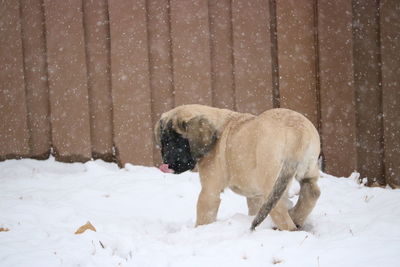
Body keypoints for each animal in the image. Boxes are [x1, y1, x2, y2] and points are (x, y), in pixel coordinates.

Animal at [155, 105, 320, 231]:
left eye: (179, 141)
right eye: (164, 142)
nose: (166, 164)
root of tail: (298, 132)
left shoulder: (209, 191)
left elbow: (204, 216)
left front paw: (199, 231)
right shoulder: (254, 196)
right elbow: (254, 209)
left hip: (270, 181)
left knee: (280, 211)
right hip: (307, 170)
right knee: (311, 193)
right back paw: (296, 217)